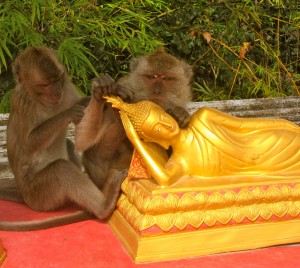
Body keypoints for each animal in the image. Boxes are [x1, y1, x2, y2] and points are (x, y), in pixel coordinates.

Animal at [0, 46, 126, 230]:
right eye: (45, 85)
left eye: (57, 80)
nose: (56, 92)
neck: (41, 99)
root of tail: (24, 195)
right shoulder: (22, 101)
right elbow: (28, 143)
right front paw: (70, 112)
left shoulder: (67, 89)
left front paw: (101, 92)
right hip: (39, 196)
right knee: (61, 169)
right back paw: (104, 206)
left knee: (68, 145)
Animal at [74, 46, 192, 194]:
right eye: (151, 77)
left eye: (167, 78)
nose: (157, 91)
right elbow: (83, 141)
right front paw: (100, 91)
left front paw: (180, 114)